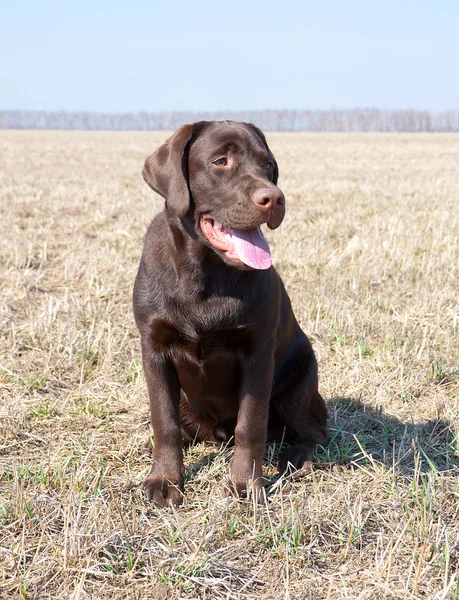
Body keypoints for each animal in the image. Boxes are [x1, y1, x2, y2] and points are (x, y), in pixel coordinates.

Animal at [134, 122, 330, 506]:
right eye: (220, 162)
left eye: (268, 165)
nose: (274, 198)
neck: (205, 274)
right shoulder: (154, 350)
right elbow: (163, 420)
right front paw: (164, 479)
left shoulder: (257, 354)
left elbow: (250, 424)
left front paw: (244, 484)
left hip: (299, 382)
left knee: (317, 431)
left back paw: (298, 458)